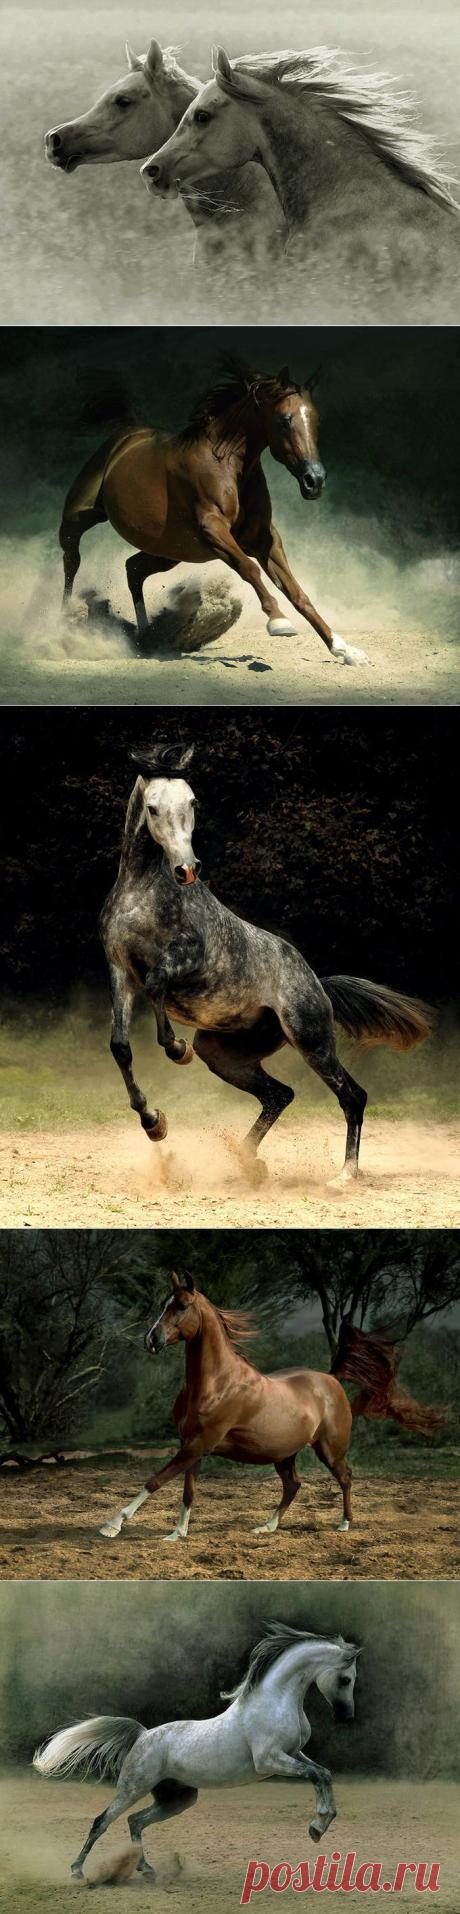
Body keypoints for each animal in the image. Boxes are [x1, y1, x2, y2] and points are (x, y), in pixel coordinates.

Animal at [33, 1623, 360, 1879]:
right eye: (346, 1679)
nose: (346, 1717)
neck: (275, 1700)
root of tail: (142, 1735)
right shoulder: (270, 1760)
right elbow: (316, 1775)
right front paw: (318, 1825)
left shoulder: (294, 1753)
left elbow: (323, 1774)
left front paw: (320, 1826)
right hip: (133, 1788)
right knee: (102, 1821)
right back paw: (77, 1871)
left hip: (177, 1799)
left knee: (134, 1821)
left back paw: (146, 1869)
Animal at [59, 363, 370, 664]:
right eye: (284, 420)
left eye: (315, 420)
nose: (314, 480)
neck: (229, 466)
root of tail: (127, 436)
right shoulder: (213, 531)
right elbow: (249, 568)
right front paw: (279, 621)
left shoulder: (264, 540)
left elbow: (297, 593)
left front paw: (344, 650)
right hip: (78, 517)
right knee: (72, 559)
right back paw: (64, 622)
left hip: (169, 551)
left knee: (133, 569)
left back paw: (145, 637)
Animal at [99, 740, 431, 1187]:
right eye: (152, 807)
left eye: (192, 801)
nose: (188, 869)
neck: (142, 895)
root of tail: (318, 984)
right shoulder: (119, 970)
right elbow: (120, 1046)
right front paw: (154, 1123)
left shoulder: (189, 956)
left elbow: (156, 983)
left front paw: (177, 1050)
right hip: (224, 1054)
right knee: (280, 1094)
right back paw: (248, 1161)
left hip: (310, 1039)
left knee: (352, 1096)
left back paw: (344, 1176)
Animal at [99, 1271, 354, 1545]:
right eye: (163, 1305)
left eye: (182, 1306)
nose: (151, 1340)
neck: (218, 1384)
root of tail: (332, 1379)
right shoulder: (190, 1444)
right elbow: (188, 1491)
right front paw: (178, 1533)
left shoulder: (199, 1444)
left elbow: (156, 1481)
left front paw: (112, 1525)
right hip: (285, 1455)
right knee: (292, 1485)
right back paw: (266, 1527)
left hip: (329, 1450)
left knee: (345, 1477)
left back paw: (344, 1524)